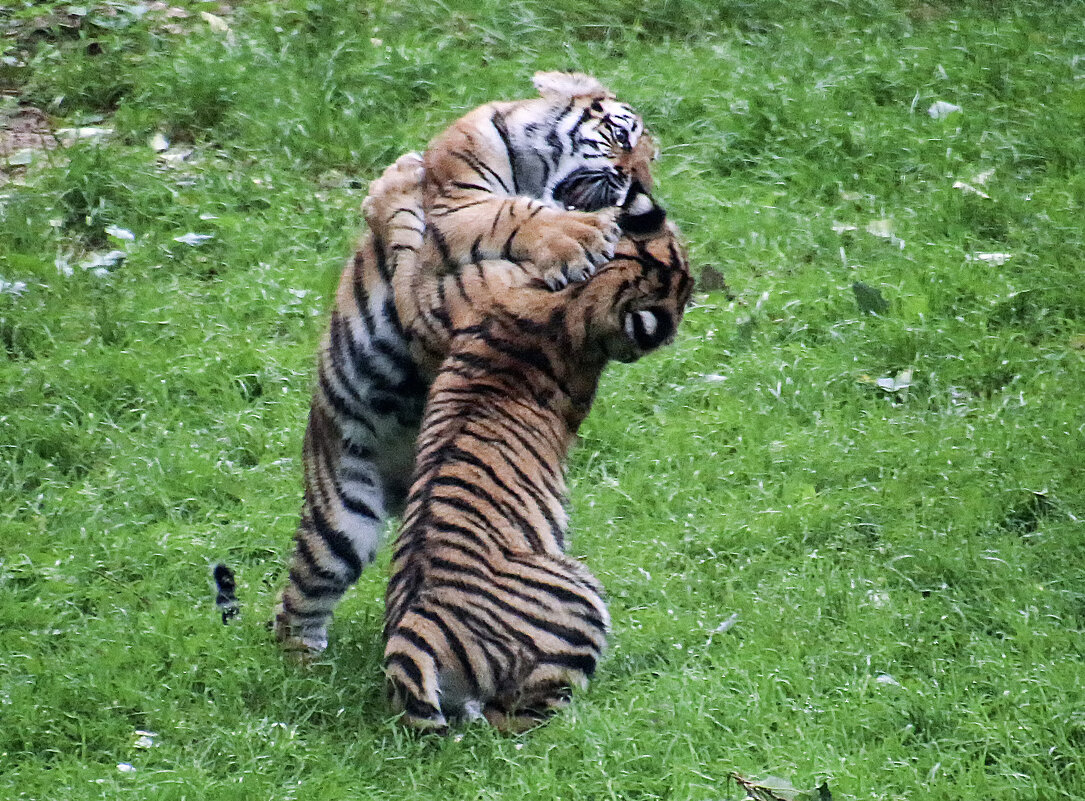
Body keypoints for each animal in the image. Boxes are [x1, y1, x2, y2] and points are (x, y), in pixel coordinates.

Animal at [271, 71, 655, 651]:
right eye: (621, 135)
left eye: (650, 156)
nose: (639, 183)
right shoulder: (459, 203)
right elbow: (512, 212)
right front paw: (579, 238)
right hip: (342, 514)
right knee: (296, 601)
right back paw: (304, 665)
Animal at [362, 150, 685, 729]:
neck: (577, 298)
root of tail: (412, 642)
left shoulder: (435, 308)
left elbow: (409, 256)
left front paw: (394, 186)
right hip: (578, 591)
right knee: (523, 716)